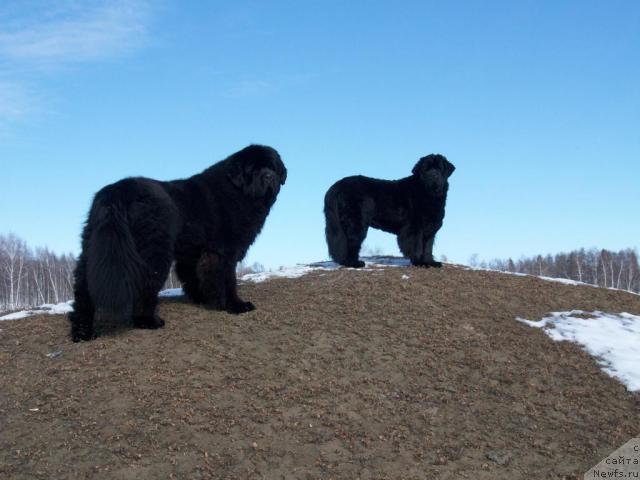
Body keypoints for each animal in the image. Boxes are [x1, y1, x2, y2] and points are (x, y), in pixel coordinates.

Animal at [69, 143, 286, 342]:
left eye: (273, 167)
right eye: (254, 169)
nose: (269, 176)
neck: (238, 192)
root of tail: (119, 191)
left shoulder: (193, 254)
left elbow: (194, 277)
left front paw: (203, 299)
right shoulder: (224, 251)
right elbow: (227, 280)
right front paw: (235, 305)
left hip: (96, 245)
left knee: (83, 287)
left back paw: (83, 331)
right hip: (154, 250)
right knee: (144, 285)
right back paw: (148, 321)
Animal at [324, 154, 456, 268]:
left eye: (440, 168)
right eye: (425, 169)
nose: (433, 175)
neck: (428, 193)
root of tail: (336, 187)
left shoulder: (430, 228)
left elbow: (428, 247)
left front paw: (430, 262)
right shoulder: (414, 228)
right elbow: (417, 246)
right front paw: (419, 262)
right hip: (356, 222)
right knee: (351, 243)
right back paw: (354, 263)